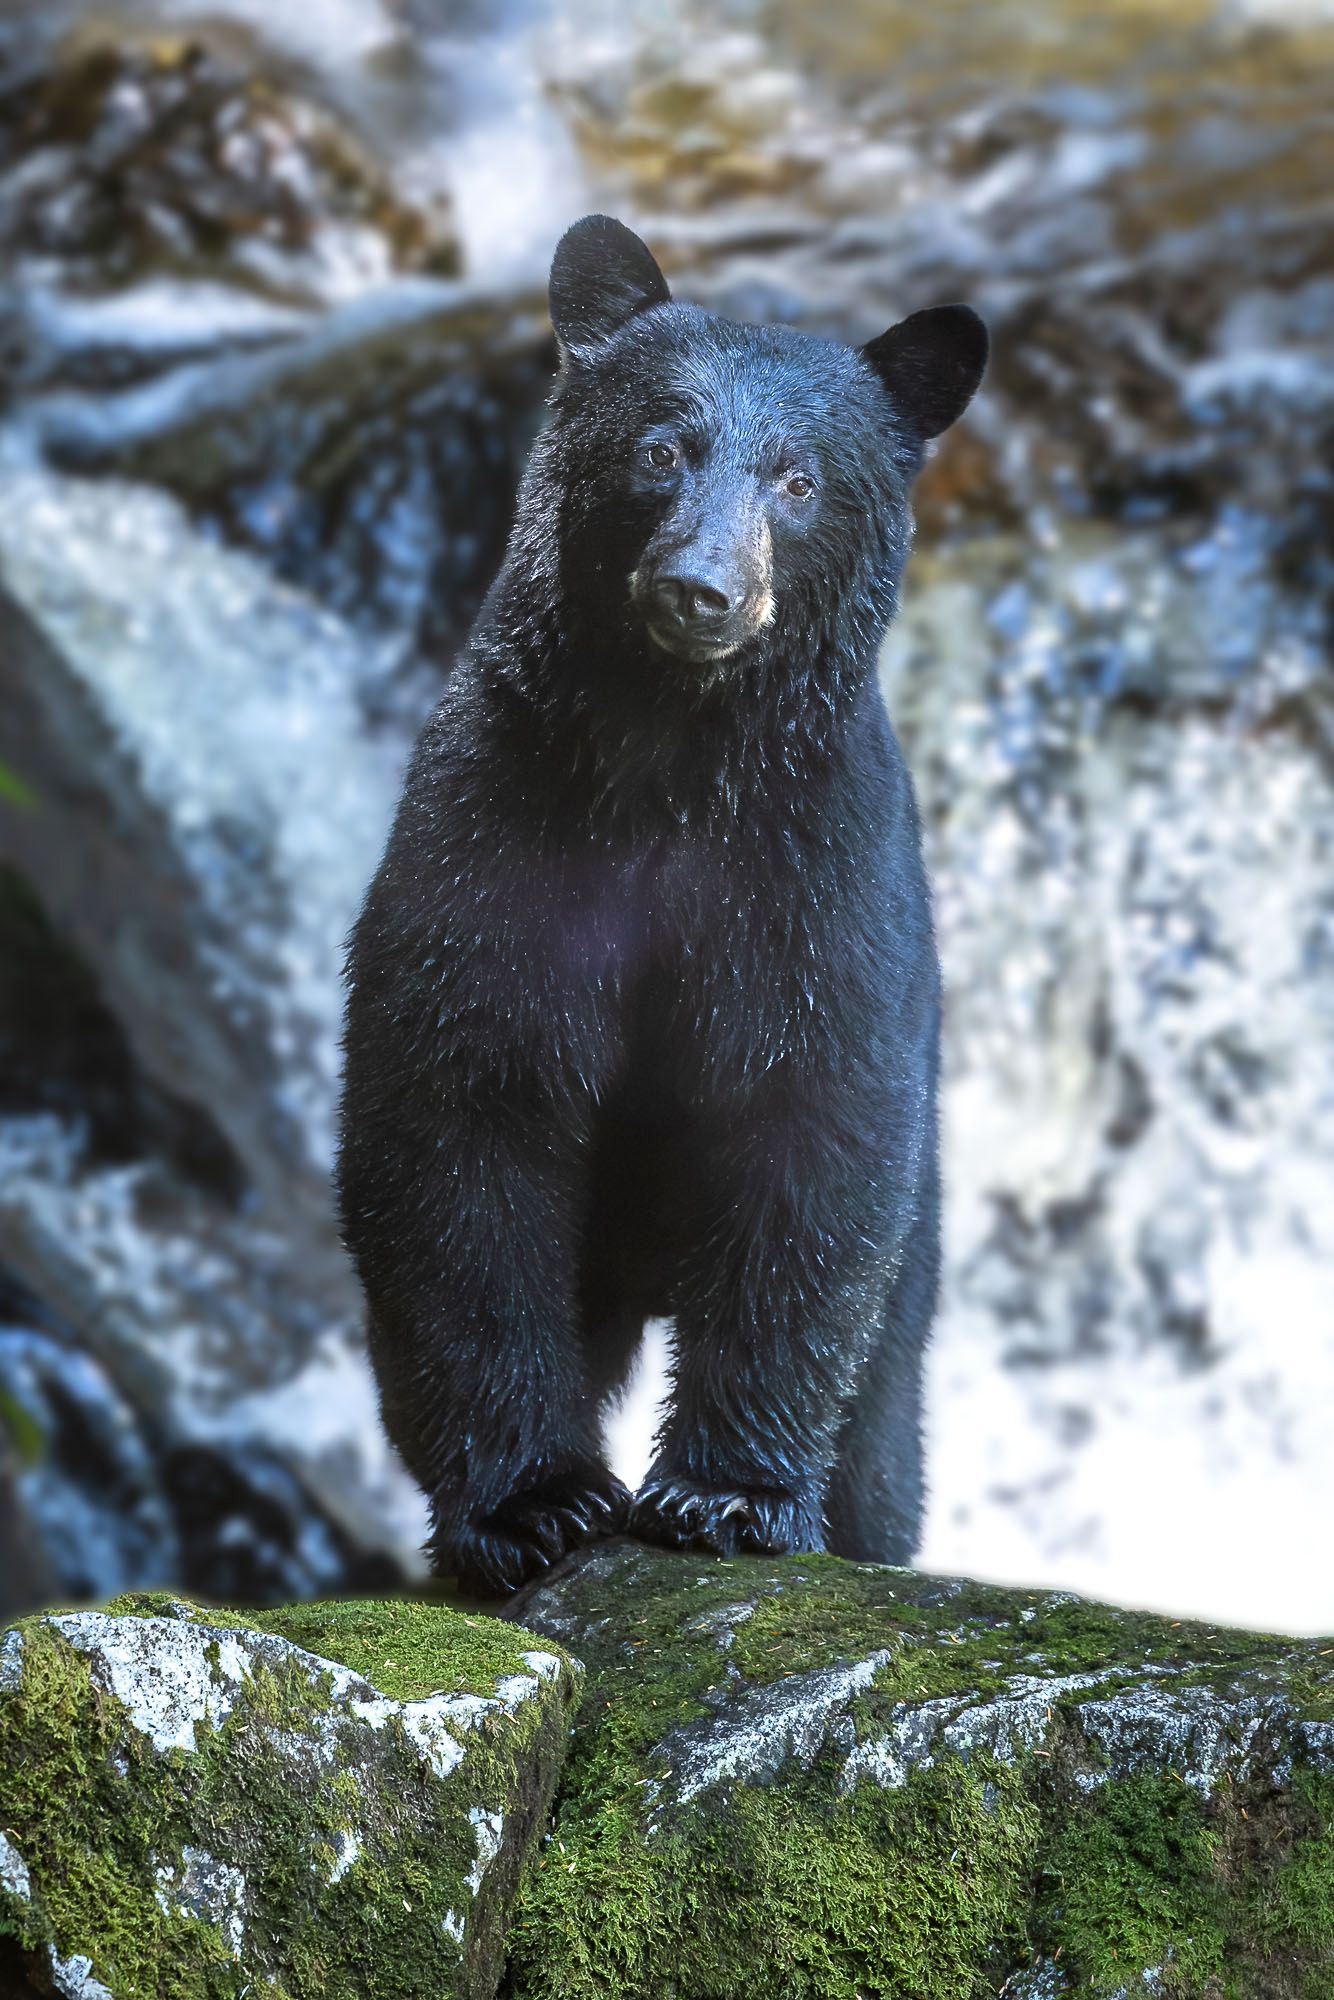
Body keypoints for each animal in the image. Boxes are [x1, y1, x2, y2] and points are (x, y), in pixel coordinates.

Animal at [337, 214, 987, 1595]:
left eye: (797, 479)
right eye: (658, 448)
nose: (701, 588)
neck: (665, 770)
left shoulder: (811, 887)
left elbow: (809, 1144)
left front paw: (725, 1493)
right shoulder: (495, 844)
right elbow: (460, 1134)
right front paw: (531, 1502)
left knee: (882, 1424)